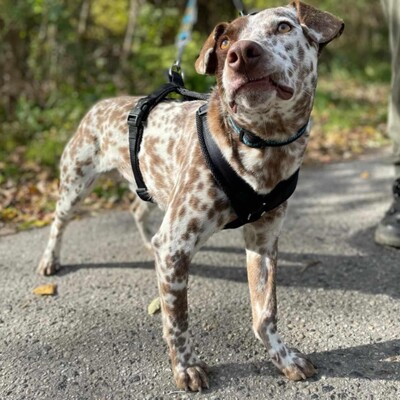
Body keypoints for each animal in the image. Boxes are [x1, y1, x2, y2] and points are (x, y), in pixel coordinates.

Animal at [38, 1, 344, 392]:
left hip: (151, 187)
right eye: (226, 40)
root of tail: (101, 103)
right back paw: (50, 259)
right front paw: (185, 368)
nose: (241, 54)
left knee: (137, 209)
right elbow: (177, 320)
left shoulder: (263, 241)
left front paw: (283, 359)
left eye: (284, 26)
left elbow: (265, 314)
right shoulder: (176, 246)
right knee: (58, 223)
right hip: (76, 184)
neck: (261, 145)